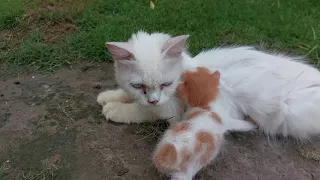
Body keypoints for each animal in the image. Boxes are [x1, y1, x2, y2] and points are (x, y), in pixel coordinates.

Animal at [97, 31, 320, 139]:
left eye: (166, 84)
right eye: (138, 85)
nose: (153, 99)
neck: (185, 74)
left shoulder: (170, 109)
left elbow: (142, 111)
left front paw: (115, 109)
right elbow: (128, 96)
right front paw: (108, 96)